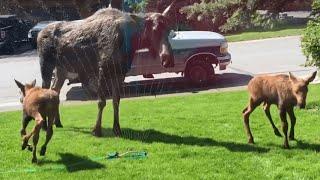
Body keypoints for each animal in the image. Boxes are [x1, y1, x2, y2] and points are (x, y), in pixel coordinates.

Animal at [38, 2, 176, 136]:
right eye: (154, 29)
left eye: (169, 30)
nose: (168, 59)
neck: (130, 41)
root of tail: (39, 33)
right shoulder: (102, 70)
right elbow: (101, 102)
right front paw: (97, 130)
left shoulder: (119, 73)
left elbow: (116, 101)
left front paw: (117, 129)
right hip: (45, 64)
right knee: (44, 89)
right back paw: (44, 126)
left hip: (61, 69)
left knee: (55, 90)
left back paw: (57, 122)